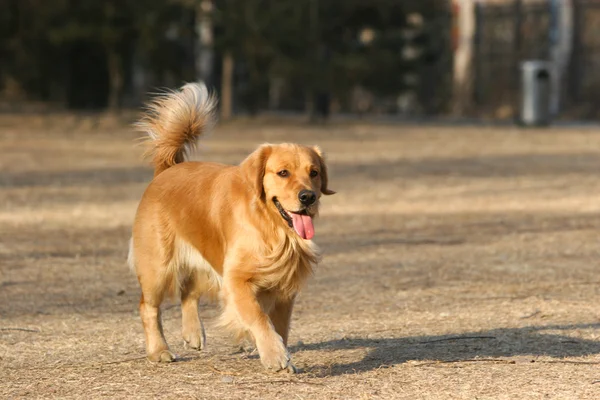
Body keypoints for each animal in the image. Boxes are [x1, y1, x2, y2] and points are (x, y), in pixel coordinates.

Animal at [128, 83, 336, 374]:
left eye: (314, 172)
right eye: (283, 173)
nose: (308, 197)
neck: (271, 227)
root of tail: (166, 170)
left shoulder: (285, 285)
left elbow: (281, 327)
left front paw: (281, 353)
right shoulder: (237, 278)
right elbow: (259, 317)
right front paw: (275, 355)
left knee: (188, 291)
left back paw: (193, 332)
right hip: (157, 266)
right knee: (148, 306)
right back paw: (159, 350)